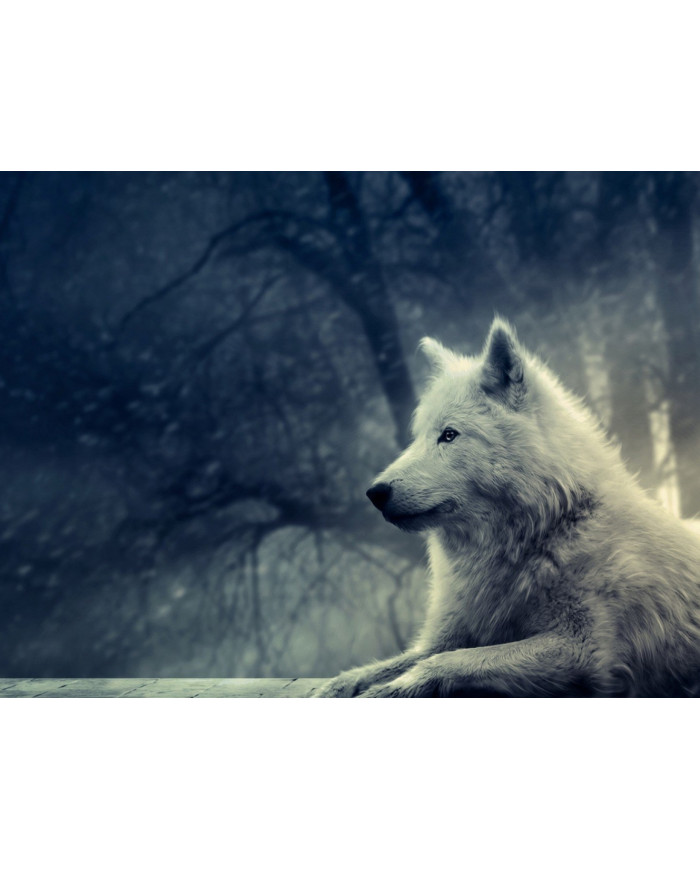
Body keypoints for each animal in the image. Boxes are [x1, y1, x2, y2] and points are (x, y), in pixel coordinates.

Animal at [314, 317, 700, 697]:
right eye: (418, 437)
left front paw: (395, 687)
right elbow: (389, 664)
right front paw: (336, 686)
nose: (374, 493)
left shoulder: (584, 650)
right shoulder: (444, 636)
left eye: (449, 435)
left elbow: (450, 661)